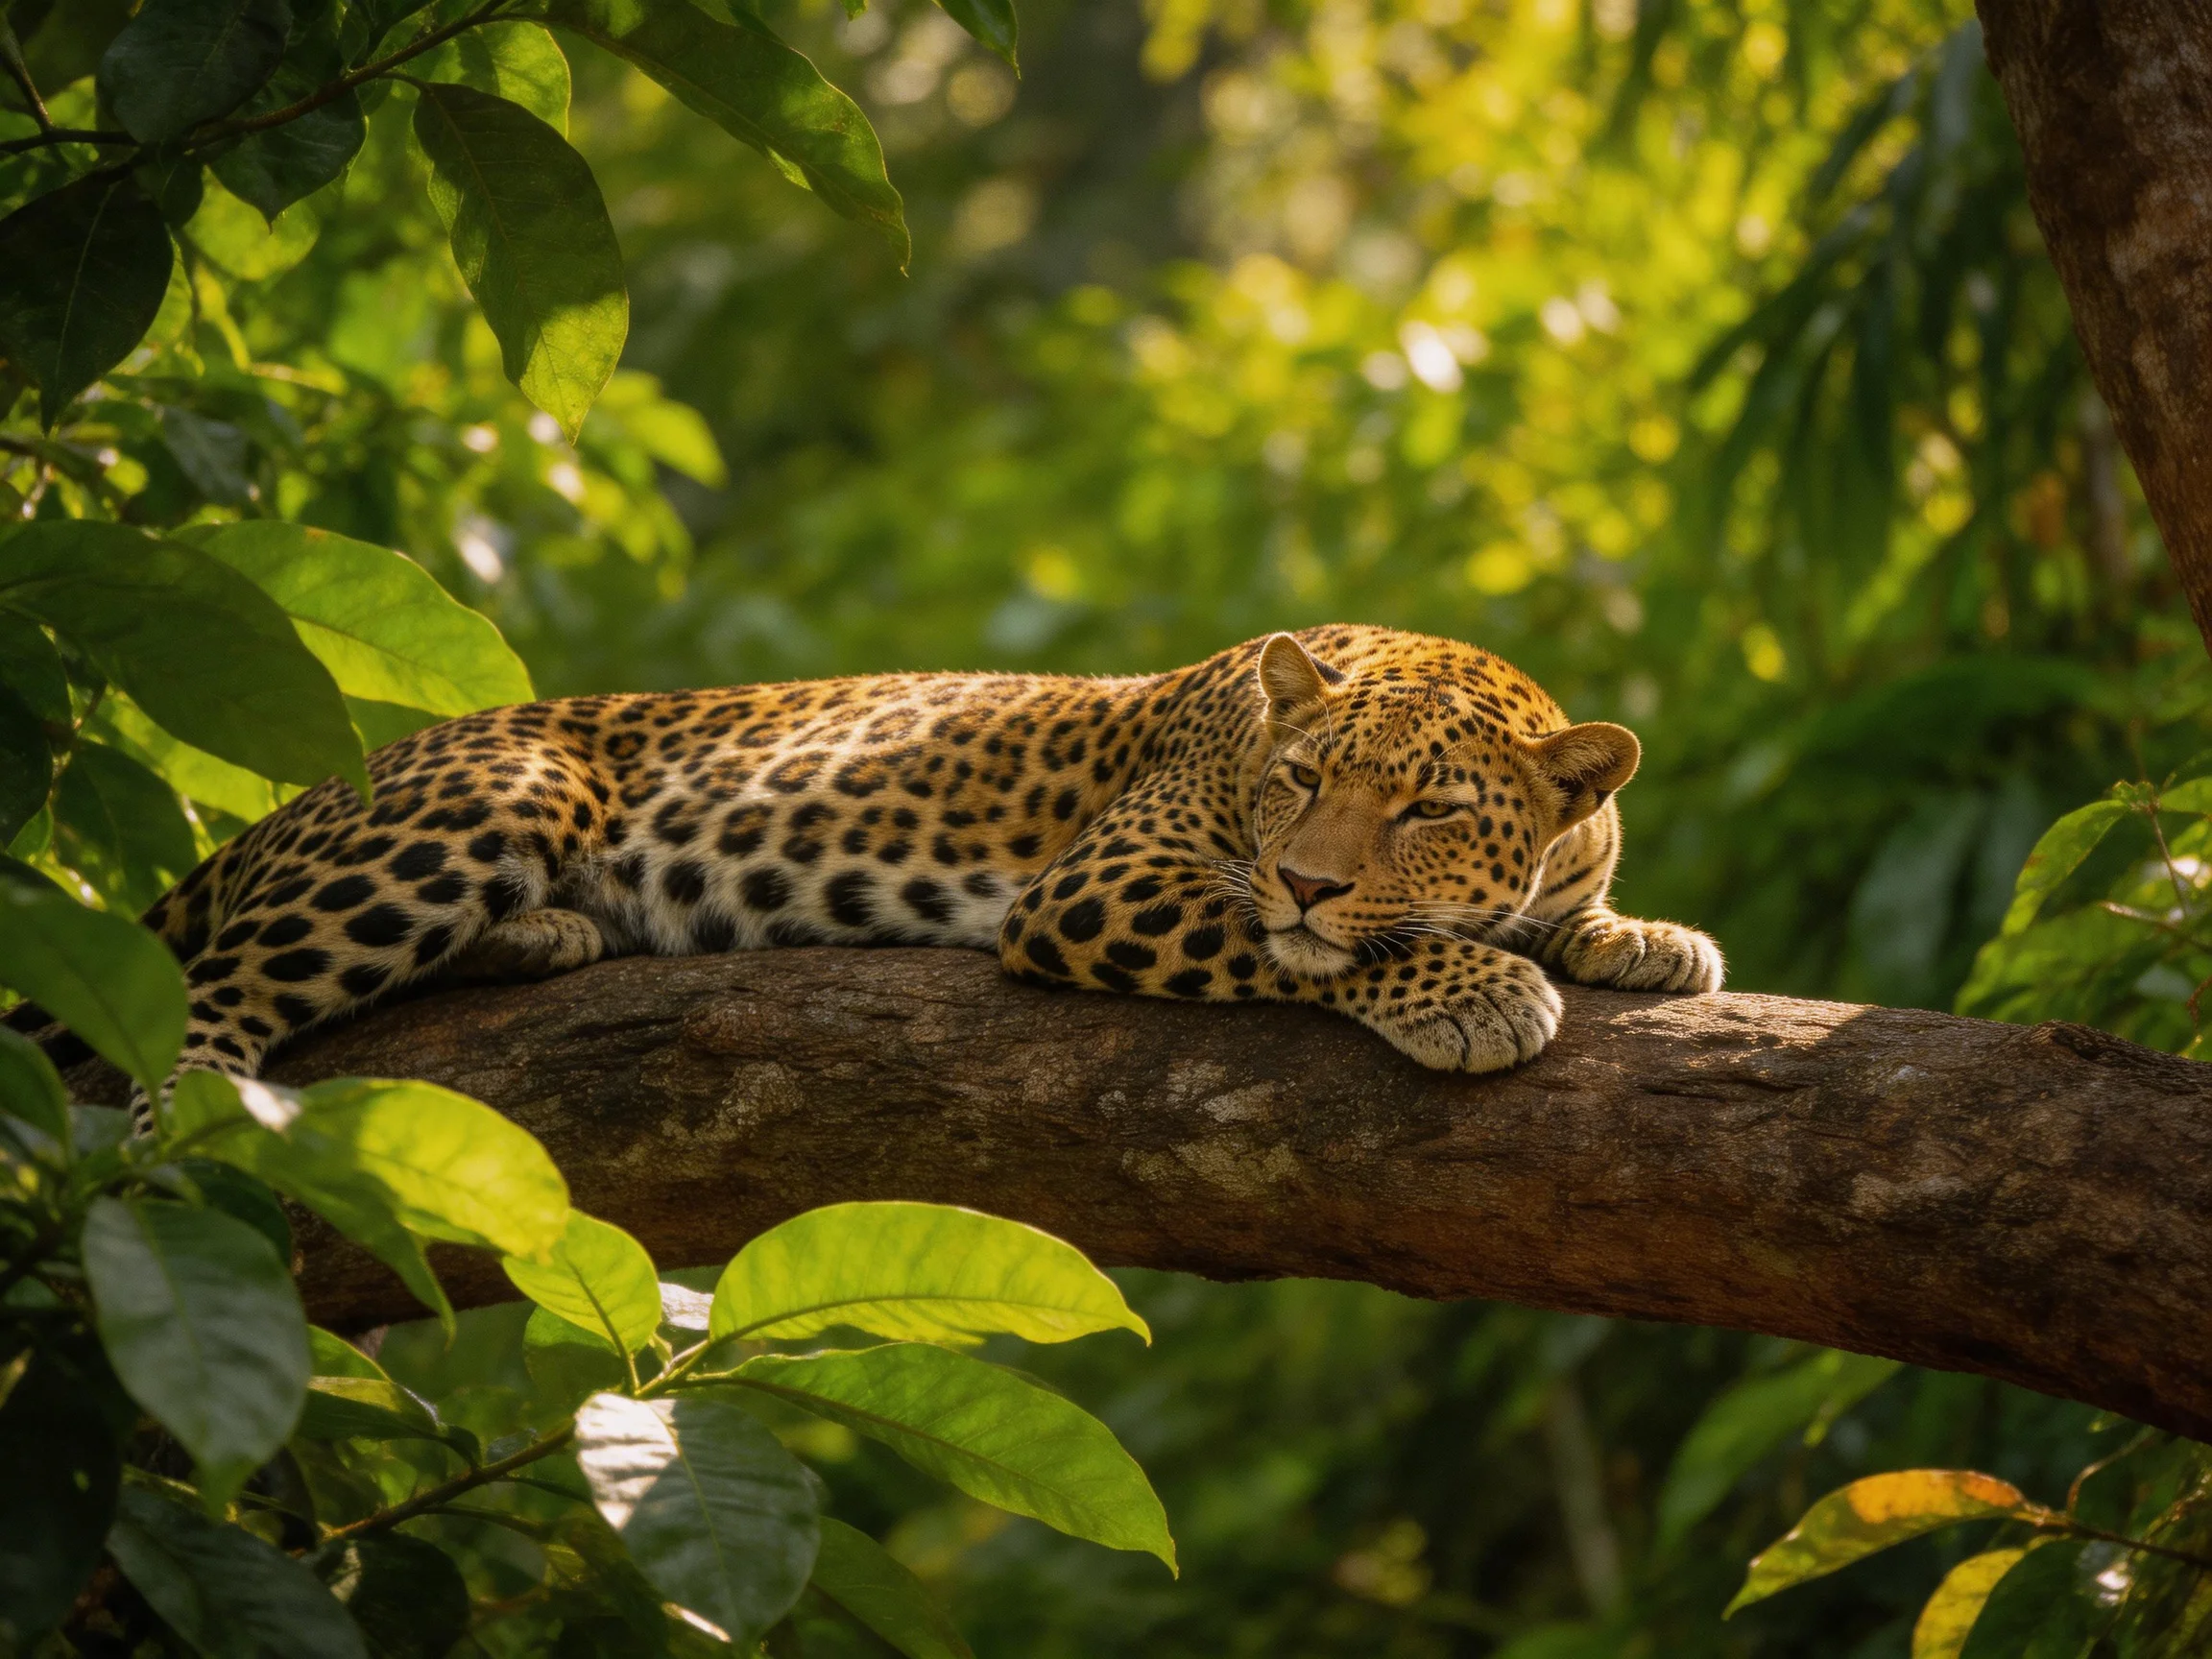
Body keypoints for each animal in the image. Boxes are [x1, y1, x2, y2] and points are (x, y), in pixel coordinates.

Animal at [19, 624, 1722, 1105]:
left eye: (1429, 809)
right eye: (1301, 782)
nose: (1307, 873)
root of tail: (323, 782)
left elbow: (1579, 913)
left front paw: (1650, 941)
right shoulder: (1107, 886)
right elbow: (1311, 952)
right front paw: (1471, 989)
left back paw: (546, 940)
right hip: (491, 789)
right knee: (214, 993)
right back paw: (202, 1119)